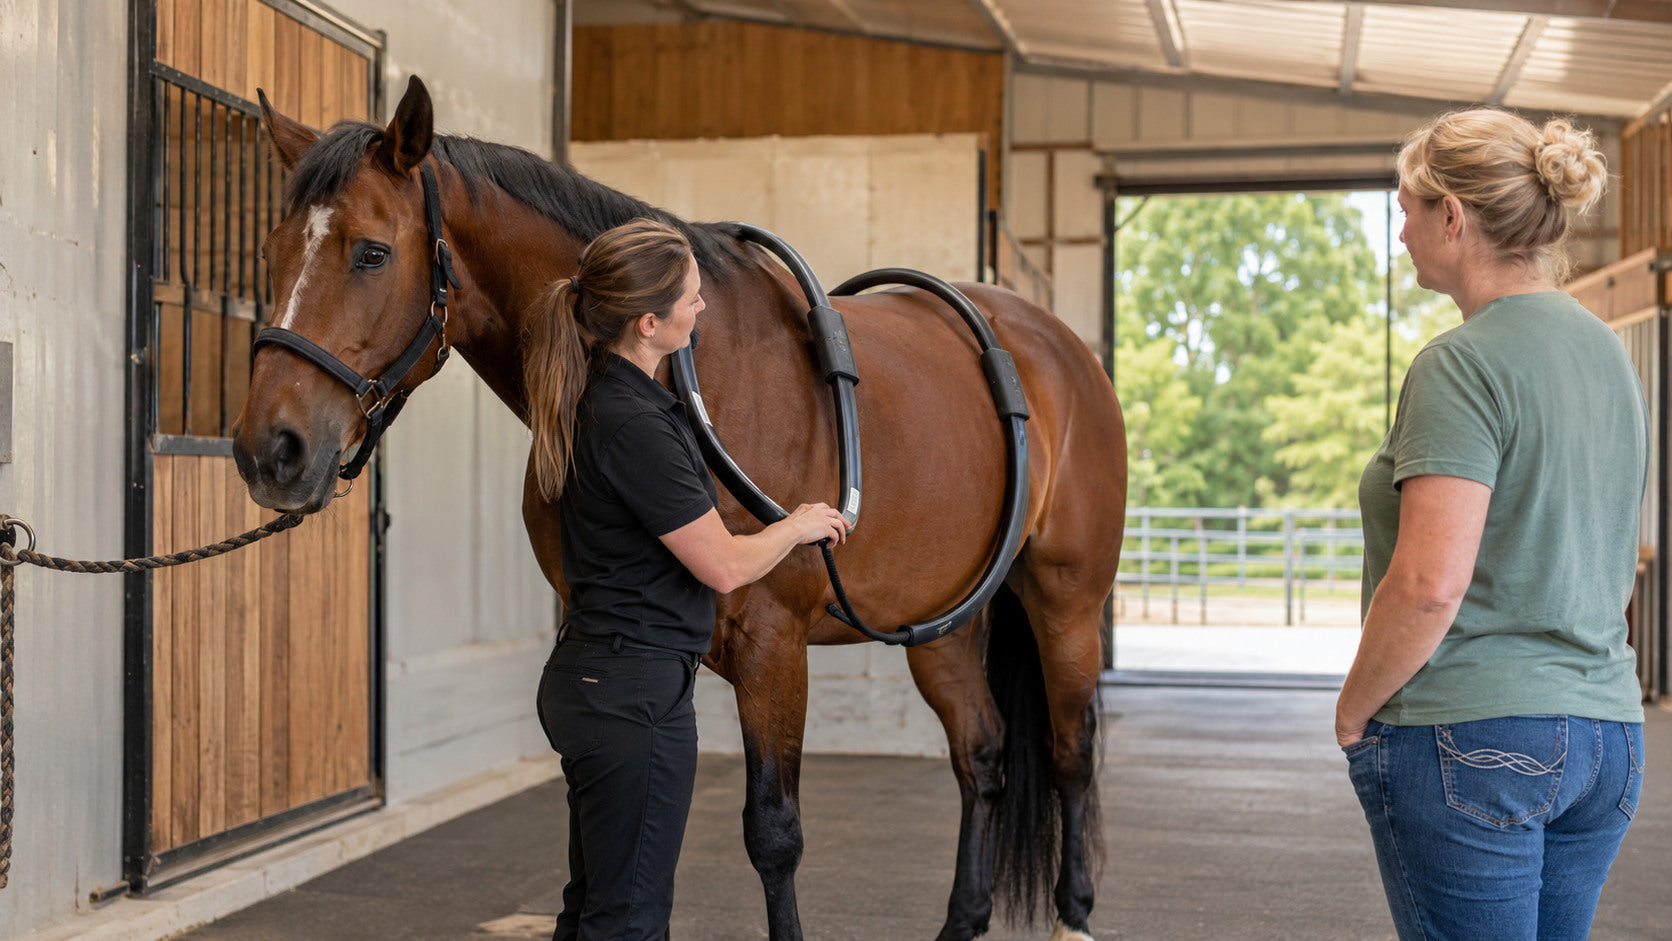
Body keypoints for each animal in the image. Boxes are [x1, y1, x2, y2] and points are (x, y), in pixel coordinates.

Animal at [231, 75, 1127, 941]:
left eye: (371, 252)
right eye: (270, 253)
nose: (269, 450)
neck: (685, 374)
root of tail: (1059, 347)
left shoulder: (773, 643)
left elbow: (774, 833)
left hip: (1065, 604)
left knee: (1071, 751)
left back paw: (1076, 913)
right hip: (943, 623)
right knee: (982, 754)